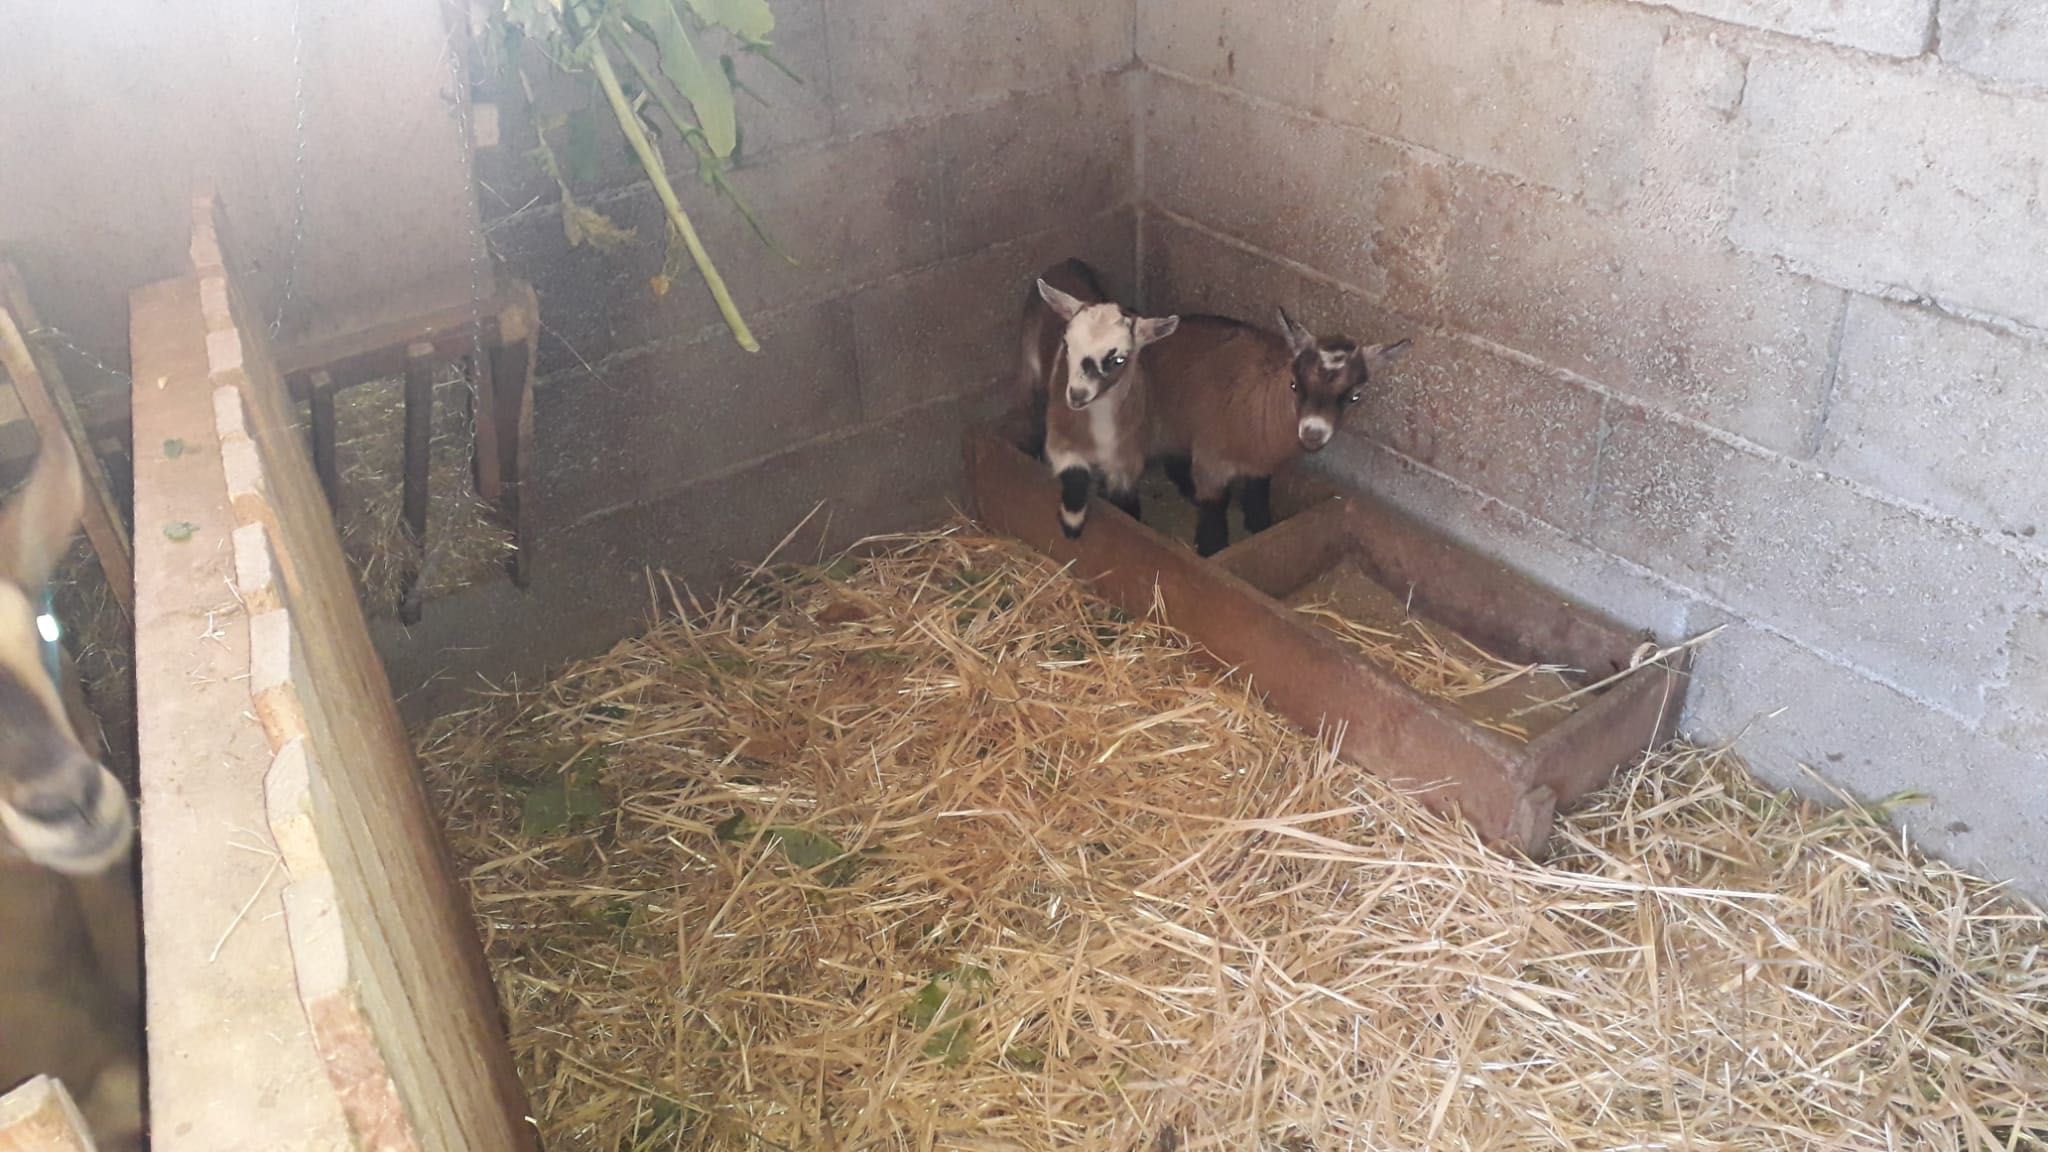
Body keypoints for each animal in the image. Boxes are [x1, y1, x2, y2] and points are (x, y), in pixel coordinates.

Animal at [1024, 258, 1187, 537]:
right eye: (1066, 344)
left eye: (1119, 359)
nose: (1077, 395)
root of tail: (1068, 262)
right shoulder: (1061, 439)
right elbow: (1075, 475)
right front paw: (1071, 524)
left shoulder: (1126, 460)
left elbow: (1124, 502)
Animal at [1146, 307, 1417, 553]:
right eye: (1294, 385)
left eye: (1354, 397)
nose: (1313, 432)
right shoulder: (1210, 462)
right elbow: (1213, 511)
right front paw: (1211, 549)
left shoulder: (1261, 464)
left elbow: (1258, 494)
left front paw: (1259, 526)